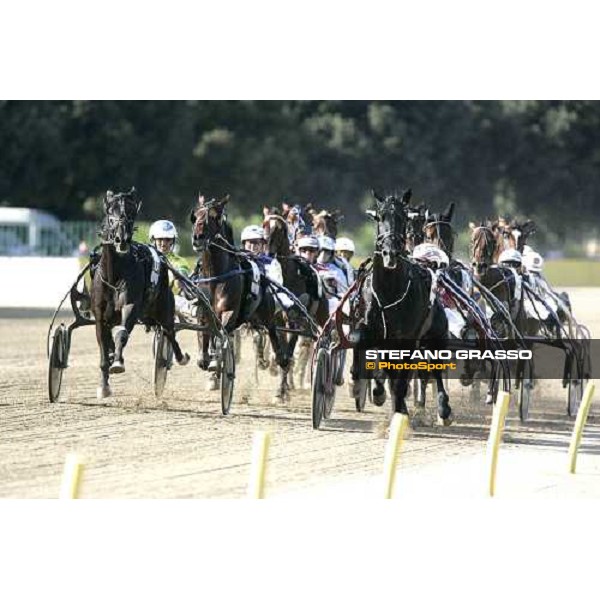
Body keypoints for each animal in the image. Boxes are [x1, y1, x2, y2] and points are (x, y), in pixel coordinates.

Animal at [90, 190, 189, 400]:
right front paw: (104, 385)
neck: (114, 274)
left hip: (164, 307)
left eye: (131, 213)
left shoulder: (131, 306)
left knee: (169, 331)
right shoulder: (100, 316)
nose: (122, 239)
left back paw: (180, 357)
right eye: (111, 213)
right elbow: (103, 346)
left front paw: (117, 363)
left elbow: (122, 334)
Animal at [350, 191, 452, 422]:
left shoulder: (409, 338)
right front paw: (365, 387)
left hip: (435, 333)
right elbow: (360, 341)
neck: (389, 292)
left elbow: (404, 378)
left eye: (403, 218)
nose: (391, 253)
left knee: (435, 367)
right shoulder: (372, 329)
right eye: (380, 217)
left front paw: (400, 408)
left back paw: (444, 409)